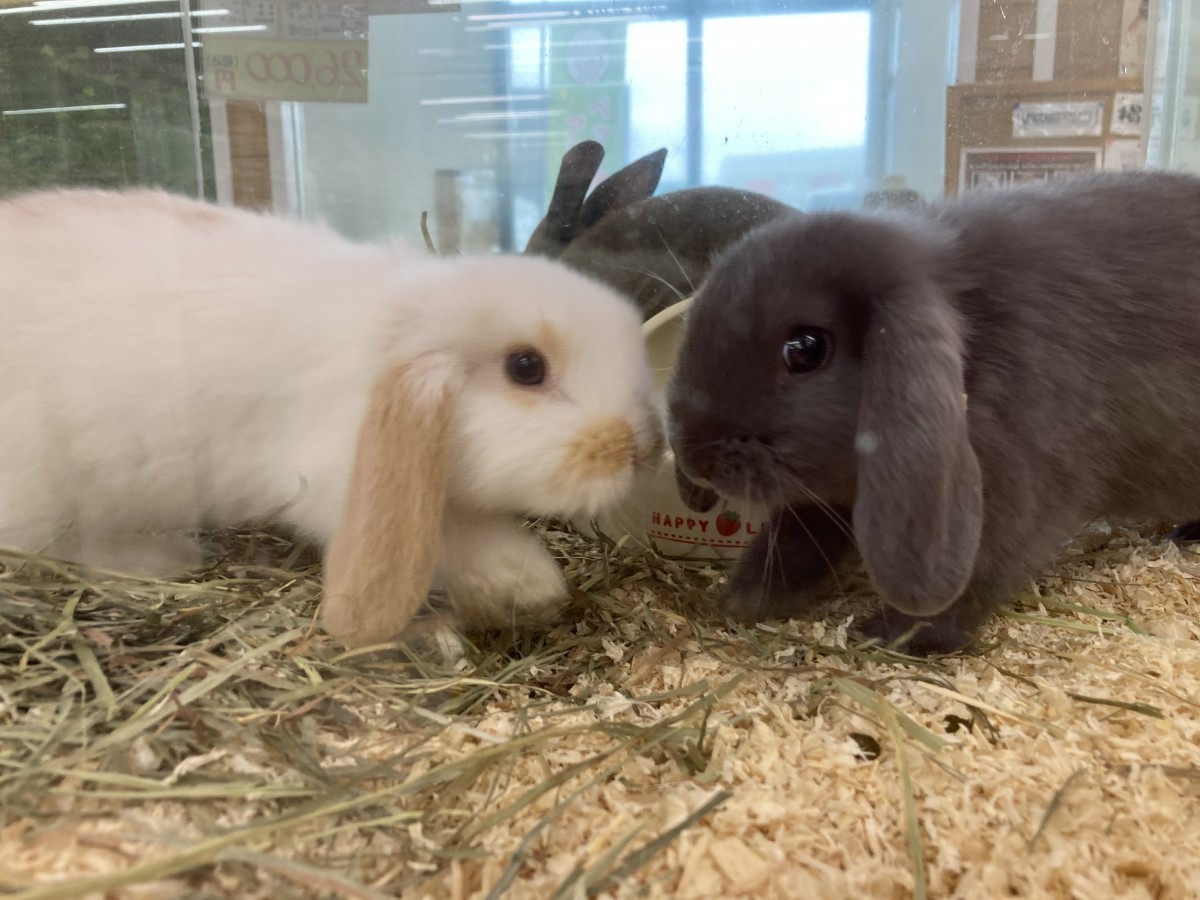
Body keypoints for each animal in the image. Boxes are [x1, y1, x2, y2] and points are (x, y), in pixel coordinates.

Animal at [0, 188, 662, 646]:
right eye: (526, 367)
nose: (645, 449)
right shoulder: (344, 485)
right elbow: (459, 538)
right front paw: (529, 585)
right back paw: (158, 561)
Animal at [666, 169, 1200, 655]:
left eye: (806, 349)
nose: (694, 458)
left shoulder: (1016, 496)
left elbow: (976, 576)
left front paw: (890, 635)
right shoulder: (832, 498)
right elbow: (796, 537)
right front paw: (744, 600)